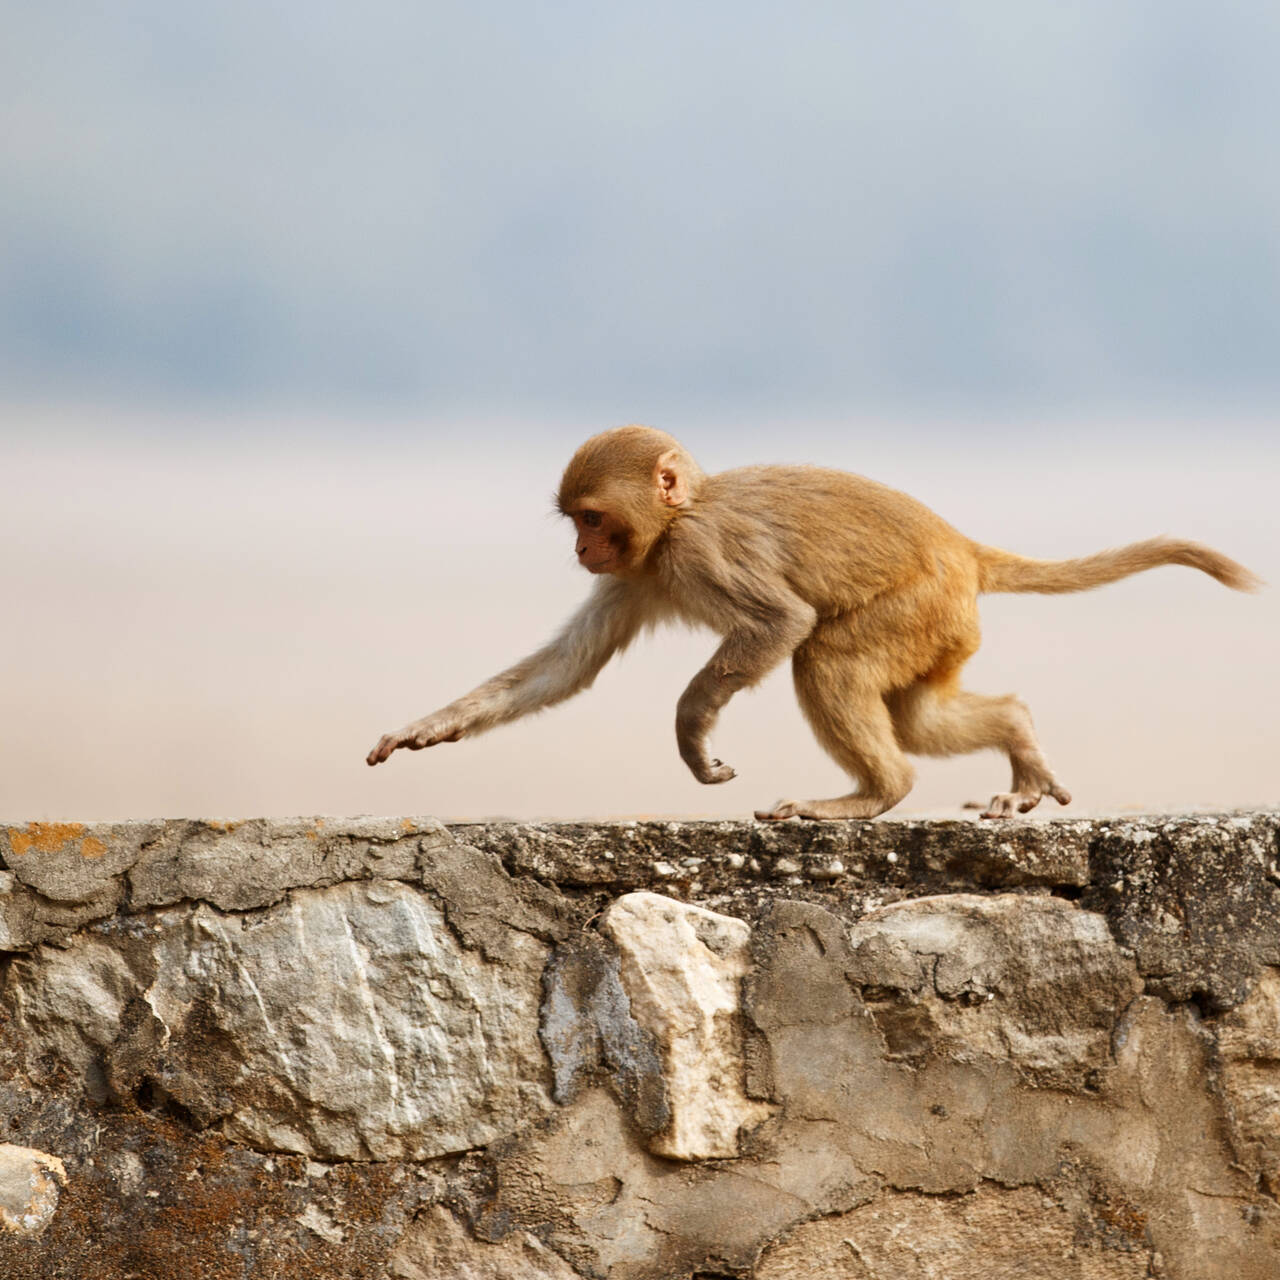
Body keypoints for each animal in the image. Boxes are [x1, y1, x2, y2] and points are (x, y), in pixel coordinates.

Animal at [363, 422, 1259, 819]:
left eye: (591, 518)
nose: (583, 550)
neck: (676, 518)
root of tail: (962, 549)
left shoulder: (694, 551)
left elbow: (780, 622)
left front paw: (693, 733)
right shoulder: (637, 575)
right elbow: (568, 666)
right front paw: (425, 729)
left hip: (918, 606)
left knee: (825, 656)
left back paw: (874, 795)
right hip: (945, 631)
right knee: (922, 714)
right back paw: (1016, 735)